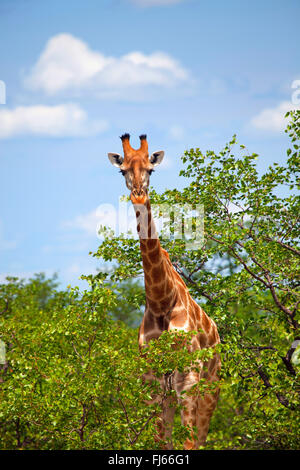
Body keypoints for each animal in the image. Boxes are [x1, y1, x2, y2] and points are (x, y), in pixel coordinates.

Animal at [108, 134, 220, 450]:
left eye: (151, 169)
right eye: (122, 171)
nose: (138, 195)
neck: (161, 303)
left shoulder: (187, 381)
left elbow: (189, 444)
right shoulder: (154, 385)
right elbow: (161, 443)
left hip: (210, 391)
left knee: (201, 439)